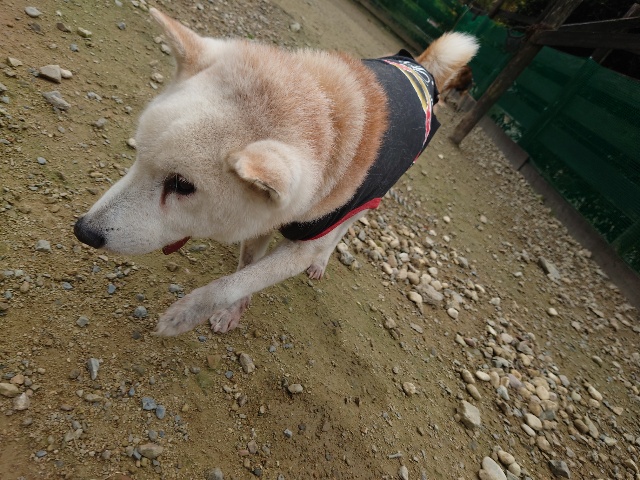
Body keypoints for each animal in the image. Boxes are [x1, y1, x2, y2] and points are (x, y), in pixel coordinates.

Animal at [74, 8, 478, 336]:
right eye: (138, 155)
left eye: (182, 185)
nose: (83, 231)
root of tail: (419, 69)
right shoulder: (262, 217)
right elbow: (247, 268)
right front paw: (232, 311)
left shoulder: (305, 238)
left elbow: (236, 282)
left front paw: (184, 315)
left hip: (370, 196)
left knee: (343, 229)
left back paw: (322, 261)